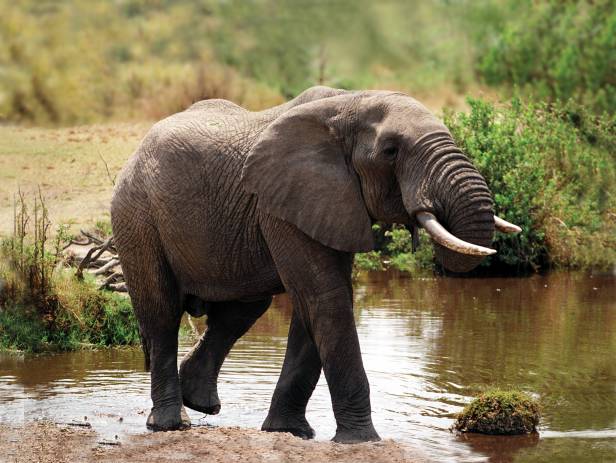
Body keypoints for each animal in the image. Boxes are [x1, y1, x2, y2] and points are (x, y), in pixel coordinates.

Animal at [112, 85, 520, 444]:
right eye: (390, 152)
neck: (350, 103)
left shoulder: (328, 203)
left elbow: (316, 306)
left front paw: (289, 433)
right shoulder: (284, 202)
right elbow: (327, 299)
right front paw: (363, 442)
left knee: (240, 312)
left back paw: (200, 403)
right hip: (136, 214)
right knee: (162, 313)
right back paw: (171, 424)